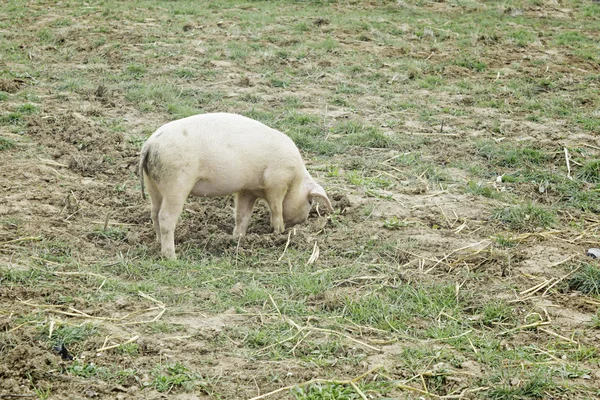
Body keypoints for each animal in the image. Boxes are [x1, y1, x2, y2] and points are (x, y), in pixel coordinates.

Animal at [139, 112, 332, 260]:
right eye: (310, 202)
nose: (303, 221)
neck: (295, 179)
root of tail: (150, 144)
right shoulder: (277, 181)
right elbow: (276, 208)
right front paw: (279, 232)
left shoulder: (247, 190)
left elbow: (242, 215)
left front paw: (238, 237)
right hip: (176, 182)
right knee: (165, 217)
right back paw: (171, 256)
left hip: (153, 184)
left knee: (154, 213)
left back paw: (158, 242)